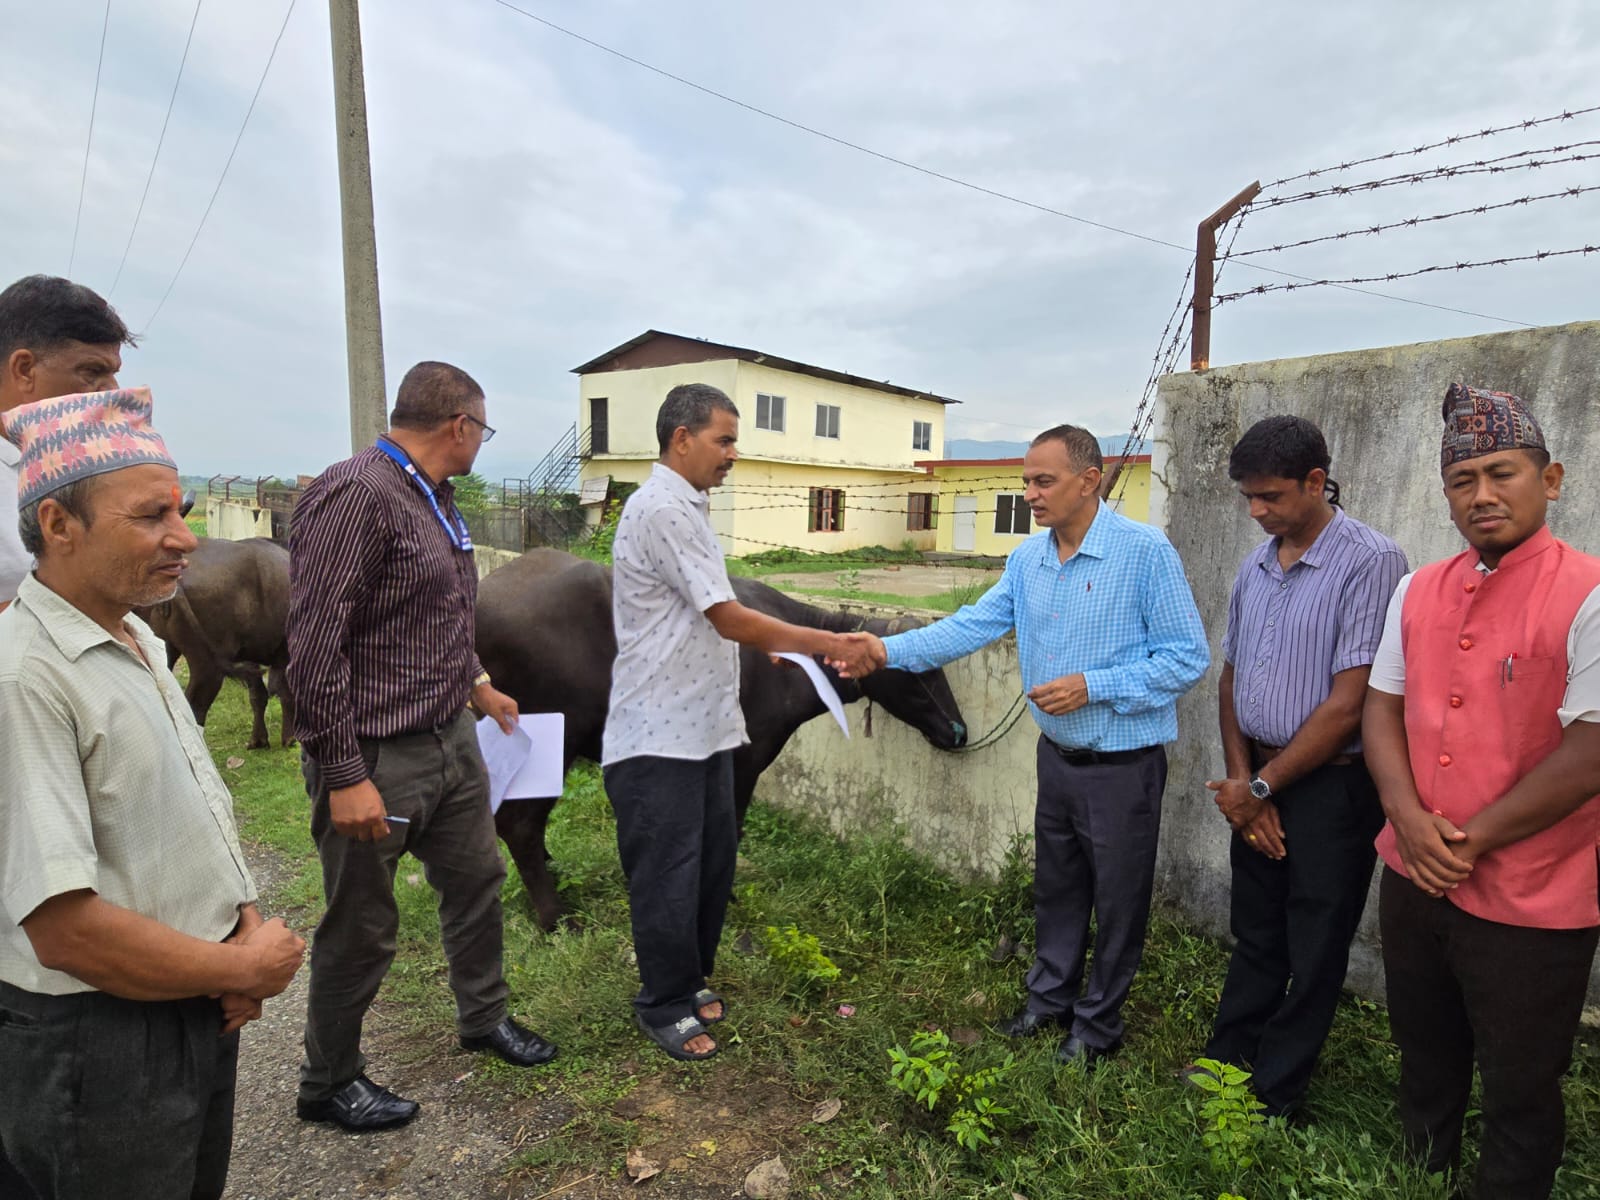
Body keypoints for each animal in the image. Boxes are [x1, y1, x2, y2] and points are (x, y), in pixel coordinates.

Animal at [473, 550, 966, 934]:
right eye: (919, 673)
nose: (957, 731)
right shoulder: (745, 760)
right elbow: (733, 828)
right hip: (556, 738)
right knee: (519, 823)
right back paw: (555, 916)